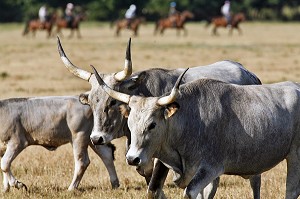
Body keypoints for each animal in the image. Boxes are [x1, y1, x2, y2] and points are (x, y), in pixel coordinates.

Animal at [96, 67, 300, 199]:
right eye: (129, 123)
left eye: (152, 125)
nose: (132, 159)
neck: (190, 119)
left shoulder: (210, 169)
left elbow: (190, 193)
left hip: (294, 157)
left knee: (290, 191)